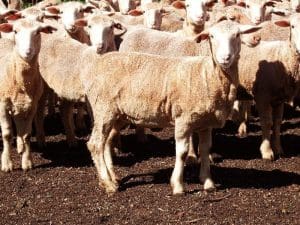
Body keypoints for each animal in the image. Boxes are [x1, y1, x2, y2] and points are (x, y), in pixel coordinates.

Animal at [0, 18, 56, 171]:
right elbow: (7, 134)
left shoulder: (31, 106)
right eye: (15, 31)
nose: (27, 52)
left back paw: (20, 147)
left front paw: (27, 162)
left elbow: (27, 135)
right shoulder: (2, 105)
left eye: (37, 32)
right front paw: (7, 164)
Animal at [75, 20, 260, 194]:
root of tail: (99, 63)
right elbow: (182, 152)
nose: (225, 57)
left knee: (106, 142)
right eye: (212, 36)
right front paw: (178, 185)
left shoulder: (206, 123)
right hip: (103, 109)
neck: (206, 75)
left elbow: (205, 150)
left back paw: (112, 177)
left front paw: (208, 183)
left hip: (118, 114)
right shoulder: (183, 119)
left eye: (237, 35)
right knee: (95, 144)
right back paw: (108, 183)